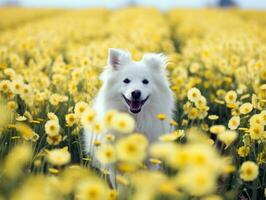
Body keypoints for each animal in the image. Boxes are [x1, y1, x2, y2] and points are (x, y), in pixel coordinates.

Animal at [83, 48, 175, 188]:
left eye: (145, 81)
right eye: (126, 80)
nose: (136, 93)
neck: (134, 120)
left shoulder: (149, 162)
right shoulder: (116, 164)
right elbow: (120, 186)